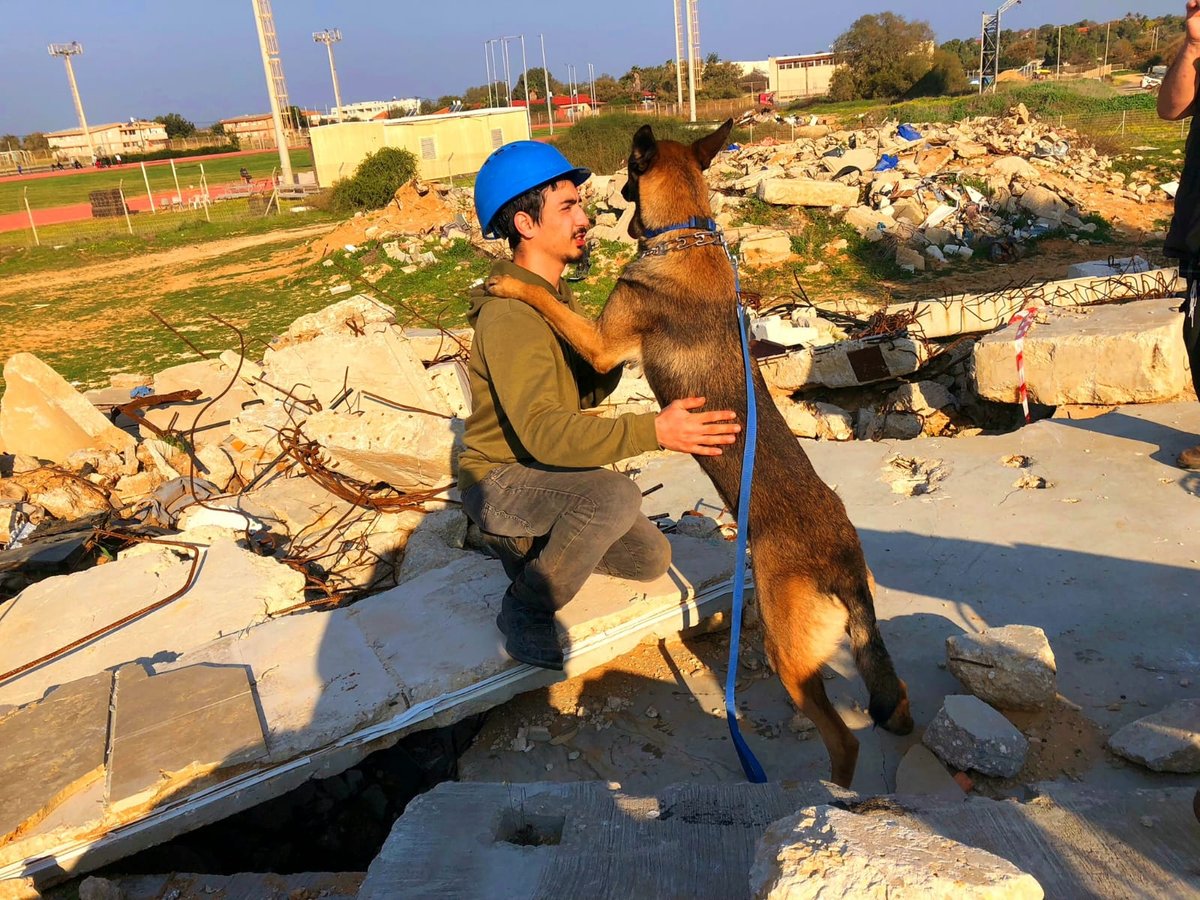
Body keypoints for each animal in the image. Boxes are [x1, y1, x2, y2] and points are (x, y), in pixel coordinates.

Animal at [484, 120, 907, 787]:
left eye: (625, 183)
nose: (610, 217)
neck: (685, 234)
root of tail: (839, 560)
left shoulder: (602, 344)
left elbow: (550, 304)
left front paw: (507, 280)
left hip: (787, 652)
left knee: (844, 741)